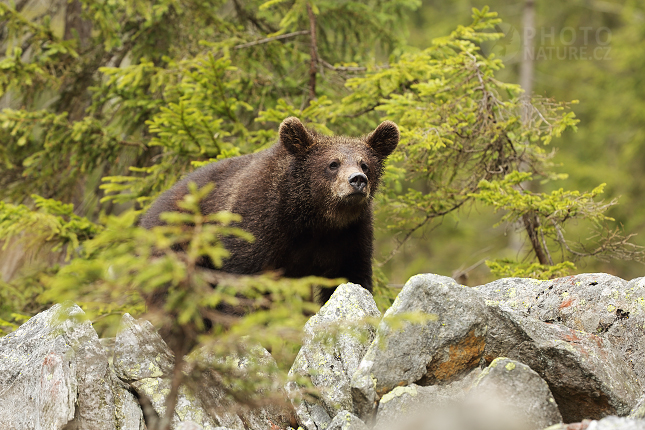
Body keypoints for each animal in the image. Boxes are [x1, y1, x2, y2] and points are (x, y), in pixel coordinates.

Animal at [141, 115, 398, 302]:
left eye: (365, 164)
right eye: (333, 164)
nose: (357, 180)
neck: (313, 218)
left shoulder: (349, 236)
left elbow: (351, 277)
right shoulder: (255, 224)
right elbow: (242, 285)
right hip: (179, 246)